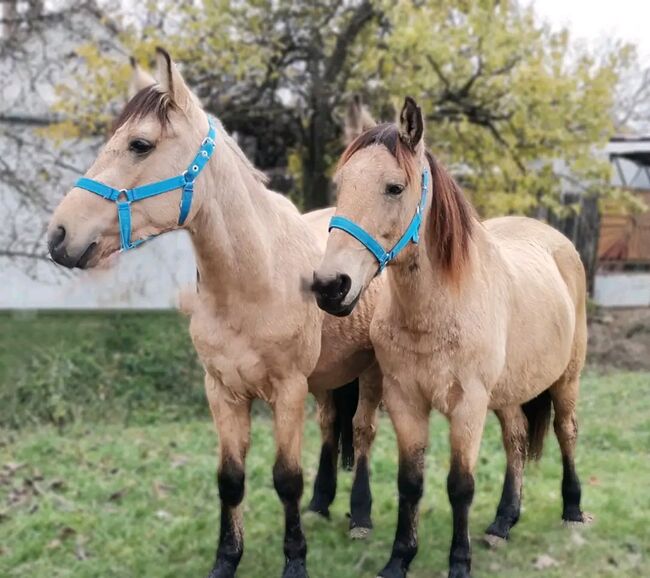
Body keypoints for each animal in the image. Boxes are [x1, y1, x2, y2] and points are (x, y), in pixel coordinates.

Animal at [49, 48, 380, 576]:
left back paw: (360, 515)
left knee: (364, 432)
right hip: (331, 375)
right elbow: (230, 479)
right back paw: (323, 503)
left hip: (371, 372)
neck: (254, 281)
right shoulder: (222, 391)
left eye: (140, 144)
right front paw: (226, 559)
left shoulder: (288, 391)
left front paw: (295, 560)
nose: (59, 236)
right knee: (333, 426)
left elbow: (286, 478)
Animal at [312, 97, 588, 572]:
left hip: (566, 380)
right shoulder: (405, 401)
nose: (333, 286)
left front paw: (459, 561)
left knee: (565, 431)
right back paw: (502, 522)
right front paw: (399, 559)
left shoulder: (468, 406)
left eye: (394, 187)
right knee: (516, 439)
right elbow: (410, 483)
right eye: (340, 185)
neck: (436, 312)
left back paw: (572, 510)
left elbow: (461, 485)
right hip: (509, 392)